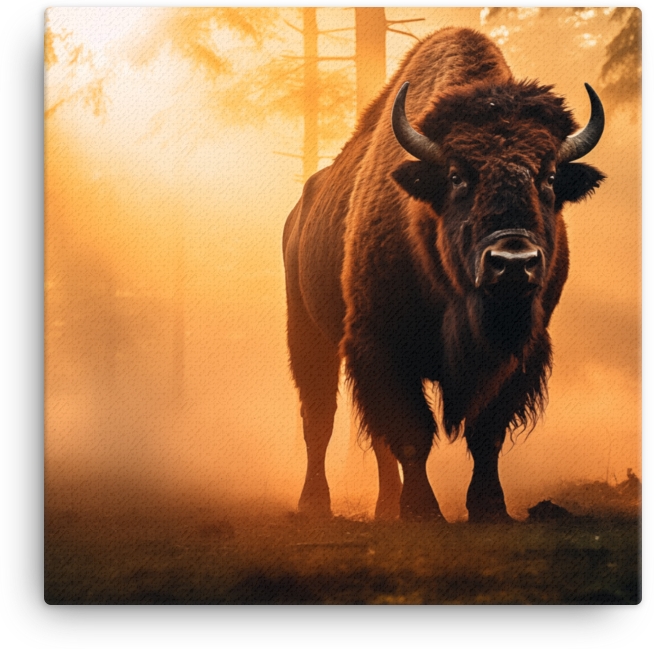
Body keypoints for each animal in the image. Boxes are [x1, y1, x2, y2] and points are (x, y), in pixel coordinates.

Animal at [283, 27, 605, 522]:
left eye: (549, 177)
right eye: (456, 177)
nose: (513, 261)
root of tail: (299, 212)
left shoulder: (519, 351)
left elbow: (486, 431)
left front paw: (490, 509)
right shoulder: (380, 344)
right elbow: (413, 433)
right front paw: (423, 512)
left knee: (373, 438)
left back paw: (385, 508)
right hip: (308, 334)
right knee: (319, 418)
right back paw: (315, 504)